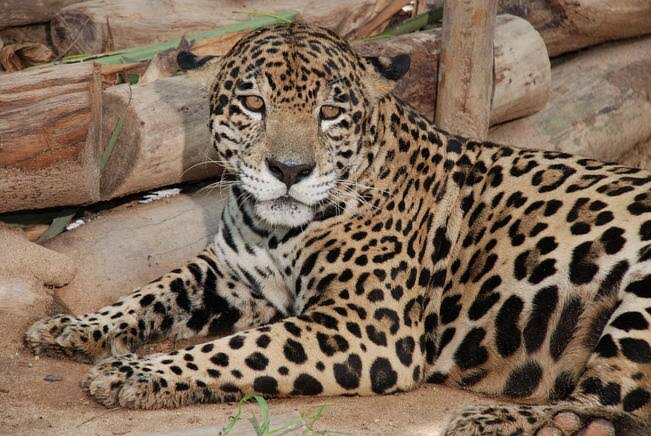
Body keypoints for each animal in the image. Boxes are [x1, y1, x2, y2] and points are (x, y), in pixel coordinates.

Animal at [25, 23, 651, 435]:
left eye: (330, 113)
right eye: (253, 104)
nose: (289, 170)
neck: (274, 232)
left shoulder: (367, 326)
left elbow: (240, 350)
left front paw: (134, 370)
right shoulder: (229, 273)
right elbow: (149, 293)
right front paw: (71, 327)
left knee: (611, 401)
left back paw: (514, 420)